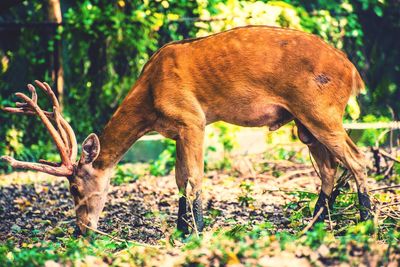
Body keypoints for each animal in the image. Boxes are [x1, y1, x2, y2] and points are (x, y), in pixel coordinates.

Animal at [2, 26, 372, 236]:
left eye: (76, 188)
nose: (82, 231)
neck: (151, 97)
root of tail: (354, 72)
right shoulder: (175, 130)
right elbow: (179, 179)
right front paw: (181, 229)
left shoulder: (193, 119)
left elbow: (194, 176)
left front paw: (197, 230)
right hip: (304, 123)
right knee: (329, 168)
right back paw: (315, 224)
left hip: (320, 110)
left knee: (357, 157)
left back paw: (366, 220)